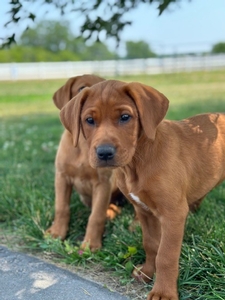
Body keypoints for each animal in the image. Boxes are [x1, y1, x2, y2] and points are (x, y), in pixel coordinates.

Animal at [46, 75, 122, 251]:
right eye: (82, 89)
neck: (83, 144)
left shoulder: (103, 183)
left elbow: (96, 216)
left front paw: (90, 243)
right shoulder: (61, 177)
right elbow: (61, 207)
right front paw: (57, 232)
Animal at [59, 79, 225, 300]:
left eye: (125, 117)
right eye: (89, 120)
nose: (104, 153)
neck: (136, 163)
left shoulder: (173, 214)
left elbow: (165, 255)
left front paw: (163, 292)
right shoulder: (144, 211)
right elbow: (151, 244)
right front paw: (147, 273)